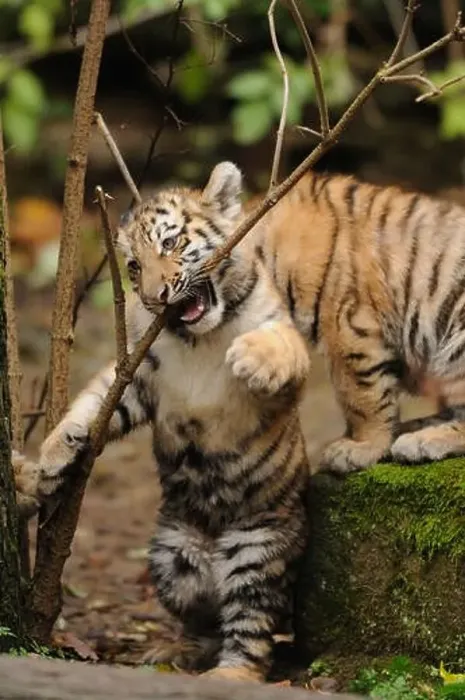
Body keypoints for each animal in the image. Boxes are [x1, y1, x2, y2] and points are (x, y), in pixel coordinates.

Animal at [15, 162, 310, 683]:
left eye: (171, 243)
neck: (200, 337)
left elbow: (280, 343)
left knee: (251, 627)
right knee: (204, 619)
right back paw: (176, 653)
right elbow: (93, 404)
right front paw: (53, 455)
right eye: (133, 267)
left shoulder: (282, 358)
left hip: (259, 550)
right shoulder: (138, 377)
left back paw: (231, 674)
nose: (156, 296)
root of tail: (212, 549)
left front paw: (253, 359)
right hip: (174, 561)